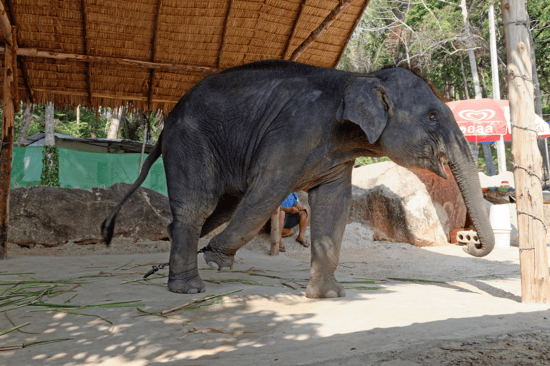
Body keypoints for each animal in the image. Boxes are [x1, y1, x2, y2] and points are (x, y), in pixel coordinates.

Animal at [102, 59, 496, 298]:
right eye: (432, 117)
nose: (469, 241)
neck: (359, 76)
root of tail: (166, 123)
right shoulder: (293, 133)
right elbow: (269, 189)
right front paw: (216, 259)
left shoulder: (337, 155)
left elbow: (334, 206)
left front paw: (328, 296)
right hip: (191, 142)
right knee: (199, 206)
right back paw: (190, 289)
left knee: (218, 208)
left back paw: (175, 268)